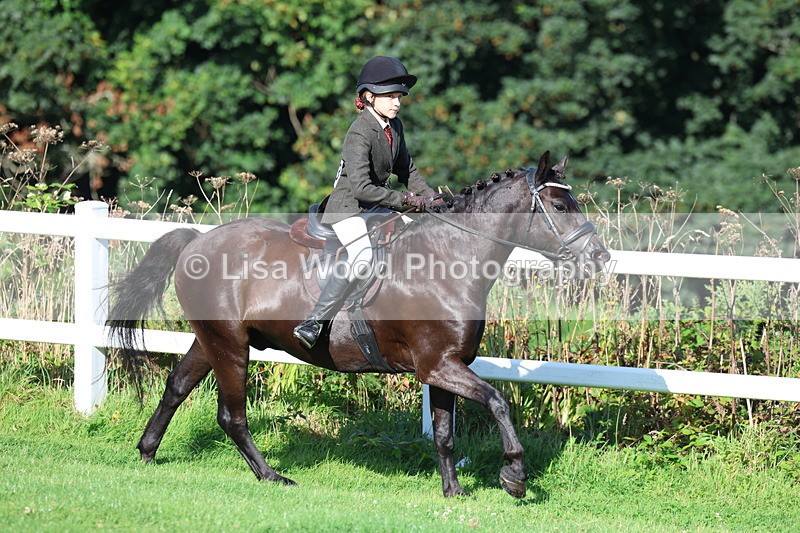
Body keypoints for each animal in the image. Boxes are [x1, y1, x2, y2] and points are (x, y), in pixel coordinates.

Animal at [108, 150, 610, 499]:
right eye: (560, 207)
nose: (600, 257)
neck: (449, 260)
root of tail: (198, 241)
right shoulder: (438, 366)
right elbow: (498, 402)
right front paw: (515, 475)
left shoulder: (445, 365)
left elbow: (445, 435)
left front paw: (453, 491)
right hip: (230, 345)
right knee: (231, 416)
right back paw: (273, 476)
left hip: (211, 339)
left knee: (177, 386)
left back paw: (147, 452)